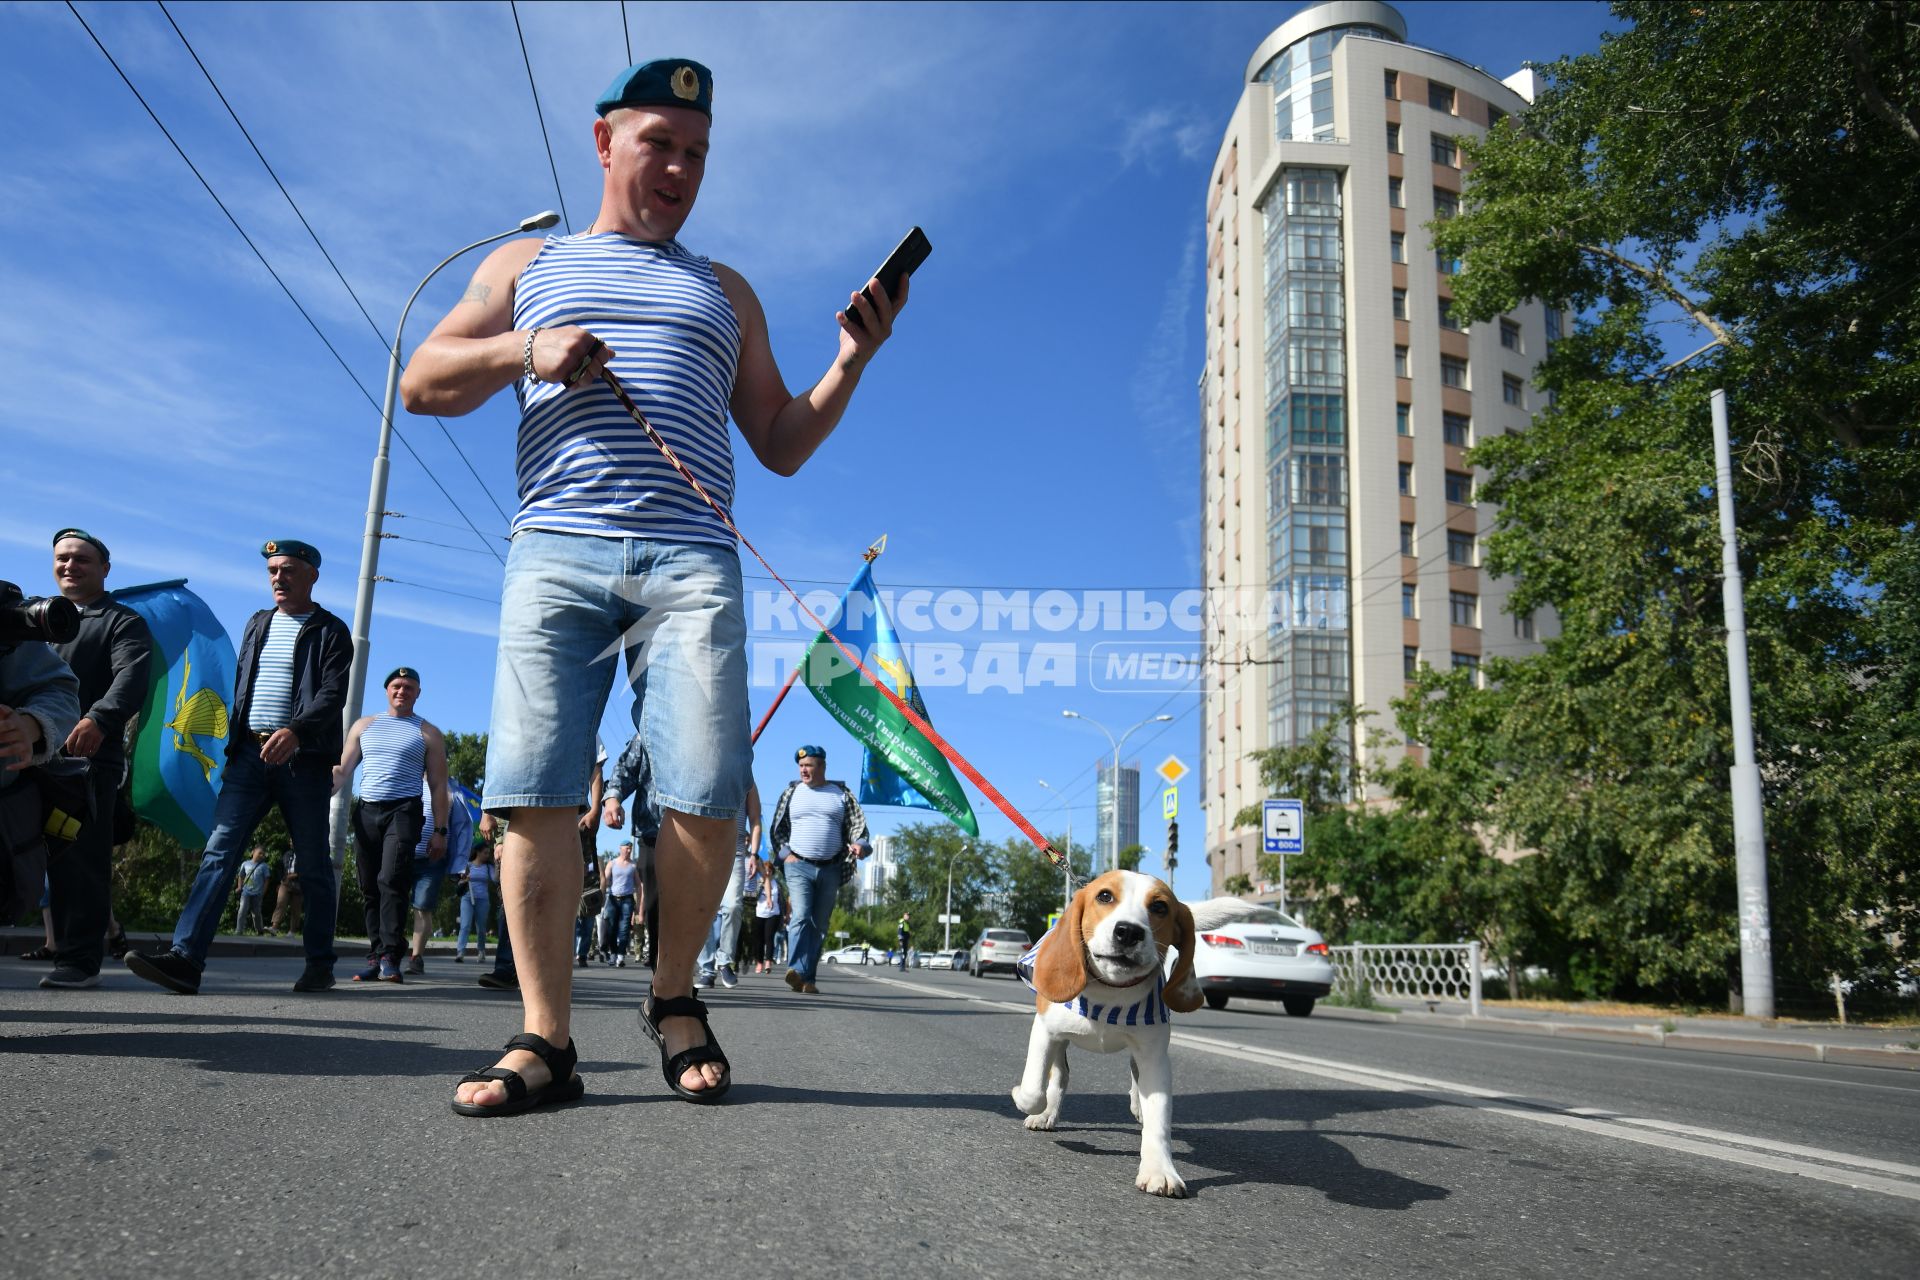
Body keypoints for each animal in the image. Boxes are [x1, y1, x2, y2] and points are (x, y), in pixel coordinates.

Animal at [1013, 871, 1251, 1205]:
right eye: (1104, 896)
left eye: (1160, 907)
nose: (1128, 932)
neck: (1110, 992)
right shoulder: (1045, 1030)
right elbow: (1034, 1090)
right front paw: (1026, 1100)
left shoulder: (1155, 1057)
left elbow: (1159, 1120)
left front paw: (1159, 1170)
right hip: (1059, 1040)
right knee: (1060, 1075)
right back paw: (1047, 1113)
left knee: (1132, 1076)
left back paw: (1138, 1106)